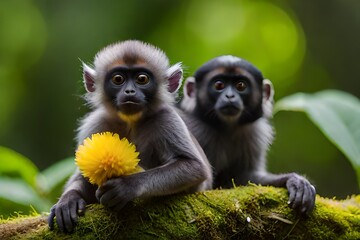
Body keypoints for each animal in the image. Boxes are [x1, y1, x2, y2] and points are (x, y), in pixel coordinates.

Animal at [47, 39, 211, 232]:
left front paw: (126, 187)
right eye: (118, 79)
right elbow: (83, 178)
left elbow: (194, 167)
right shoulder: (95, 124)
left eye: (142, 79)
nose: (130, 92)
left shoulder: (167, 119)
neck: (131, 121)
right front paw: (69, 200)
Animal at [179, 55, 316, 215]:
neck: (226, 129)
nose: (230, 96)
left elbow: (243, 178)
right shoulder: (194, 128)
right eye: (219, 85)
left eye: (240, 86)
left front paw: (293, 180)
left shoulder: (252, 134)